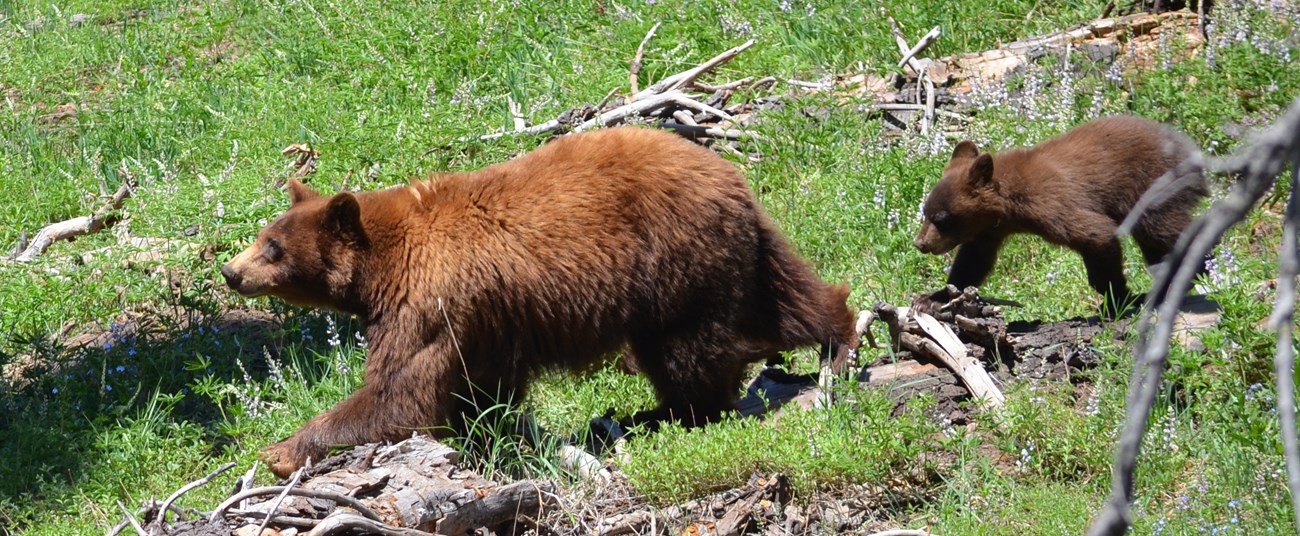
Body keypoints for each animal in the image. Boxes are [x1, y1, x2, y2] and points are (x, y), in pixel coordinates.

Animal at [219, 126, 857, 476]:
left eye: (272, 247)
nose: (230, 271)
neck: (386, 265)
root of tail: (731, 175)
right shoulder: (486, 322)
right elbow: (478, 389)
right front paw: (490, 431)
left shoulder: (430, 303)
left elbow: (402, 391)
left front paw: (281, 448)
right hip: (736, 254)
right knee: (789, 299)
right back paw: (840, 335)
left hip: (674, 263)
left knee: (687, 353)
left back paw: (666, 414)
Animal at [915, 115, 1206, 316]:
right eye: (925, 213)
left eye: (941, 218)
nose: (921, 244)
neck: (1010, 205)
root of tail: (1189, 149)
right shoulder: (987, 232)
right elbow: (971, 263)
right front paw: (932, 298)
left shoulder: (1053, 203)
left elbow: (1097, 233)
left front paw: (1118, 300)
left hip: (1152, 185)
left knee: (1163, 228)